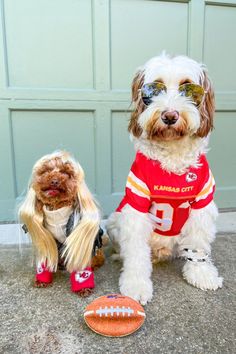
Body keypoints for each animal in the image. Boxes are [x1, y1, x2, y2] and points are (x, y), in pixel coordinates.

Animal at [107, 52, 223, 304]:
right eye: (154, 89)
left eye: (187, 88)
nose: (170, 115)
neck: (172, 155)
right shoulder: (137, 203)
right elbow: (136, 252)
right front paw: (136, 284)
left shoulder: (202, 203)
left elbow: (198, 242)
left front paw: (201, 274)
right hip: (115, 221)